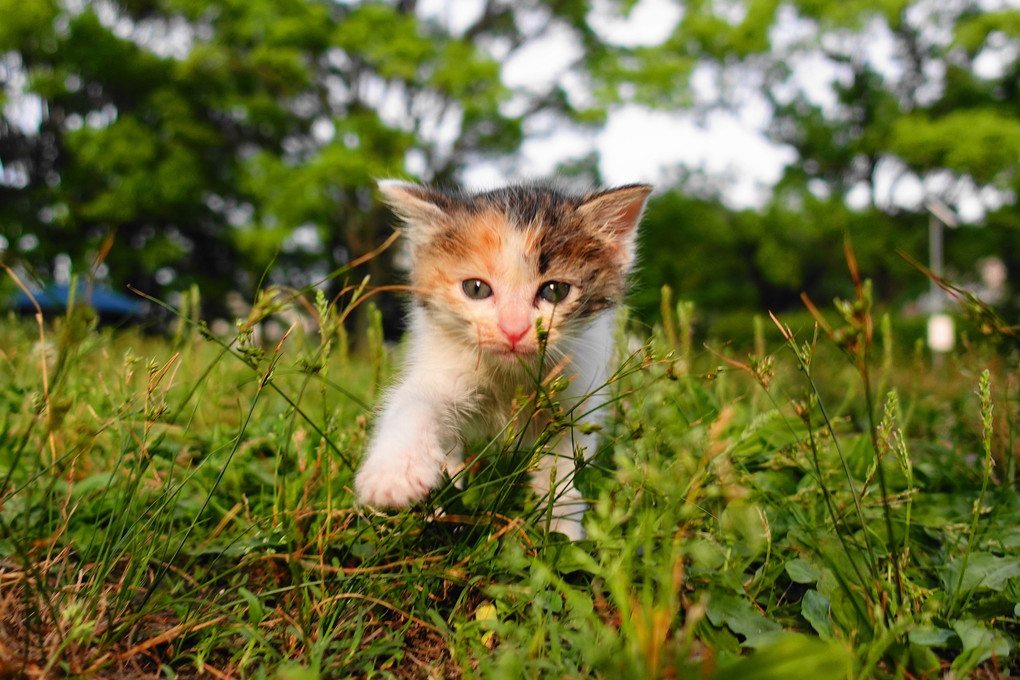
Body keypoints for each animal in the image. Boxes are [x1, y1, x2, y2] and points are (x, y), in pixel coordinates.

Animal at [354, 180, 648, 542]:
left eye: (555, 291)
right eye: (476, 288)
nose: (514, 329)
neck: (511, 378)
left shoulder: (574, 396)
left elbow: (565, 462)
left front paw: (560, 530)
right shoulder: (445, 365)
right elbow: (415, 403)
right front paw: (395, 472)